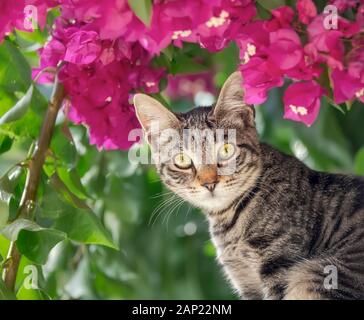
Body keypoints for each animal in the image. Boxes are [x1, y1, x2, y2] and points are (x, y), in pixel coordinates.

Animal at [133, 72, 364, 300]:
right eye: (182, 160)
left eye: (226, 150)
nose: (209, 183)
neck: (229, 221)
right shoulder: (246, 281)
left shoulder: (280, 262)